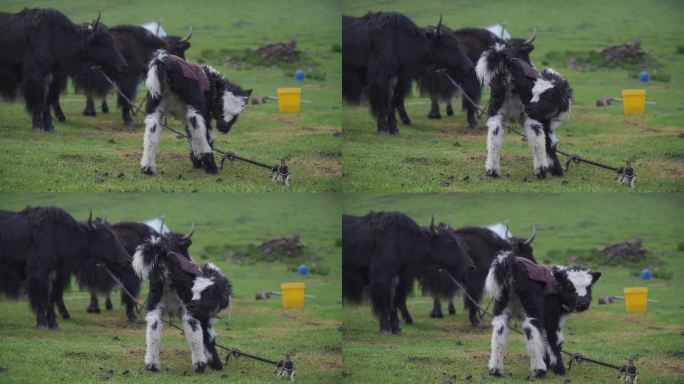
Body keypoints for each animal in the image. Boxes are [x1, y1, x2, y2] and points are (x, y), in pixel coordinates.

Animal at [131, 236, 232, 374]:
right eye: (195, 291)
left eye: (208, 295)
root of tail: (165, 256)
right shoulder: (205, 319)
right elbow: (208, 339)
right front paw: (216, 365)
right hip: (188, 310)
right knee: (194, 333)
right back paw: (199, 364)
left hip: (155, 302)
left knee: (153, 330)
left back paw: (152, 364)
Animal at [478, 43, 576, 178]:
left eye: (548, 97)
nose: (530, 107)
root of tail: (509, 64)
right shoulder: (546, 123)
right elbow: (550, 143)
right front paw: (557, 170)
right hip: (532, 117)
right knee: (537, 138)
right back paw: (541, 170)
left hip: (496, 109)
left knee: (494, 136)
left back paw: (492, 171)